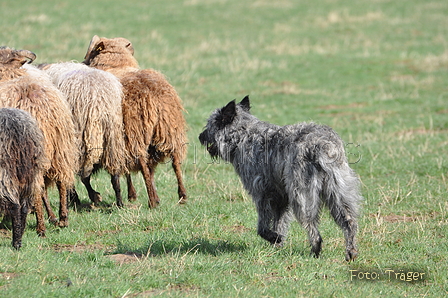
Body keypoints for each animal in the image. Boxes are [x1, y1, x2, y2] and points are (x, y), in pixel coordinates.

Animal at [0, 46, 78, 234]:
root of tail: (40, 110)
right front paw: (52, 217)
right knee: (61, 181)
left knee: (36, 189)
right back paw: (62, 219)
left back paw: (40, 227)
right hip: (60, 149)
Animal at [0, 108, 49, 248]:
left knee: (15, 206)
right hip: (29, 175)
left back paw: (16, 243)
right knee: (24, 207)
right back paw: (20, 236)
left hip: (6, 172)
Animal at [40, 62, 128, 207]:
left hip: (78, 139)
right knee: (114, 174)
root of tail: (97, 103)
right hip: (112, 137)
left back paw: (81, 198)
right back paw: (119, 202)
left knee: (81, 176)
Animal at [83, 35, 187, 207]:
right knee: (175, 161)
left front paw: (131, 194)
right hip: (169, 129)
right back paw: (182, 195)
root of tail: (153, 95)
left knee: (144, 164)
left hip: (136, 133)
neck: (117, 64)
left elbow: (124, 171)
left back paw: (152, 201)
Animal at [201, 96, 362, 260]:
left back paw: (315, 250)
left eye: (210, 124)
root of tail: (322, 144)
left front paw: (273, 238)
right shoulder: (280, 198)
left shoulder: (262, 194)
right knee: (349, 222)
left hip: (302, 196)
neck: (244, 135)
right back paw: (351, 251)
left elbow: (263, 226)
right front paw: (277, 244)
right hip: (339, 193)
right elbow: (279, 223)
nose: (200, 136)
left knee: (312, 227)